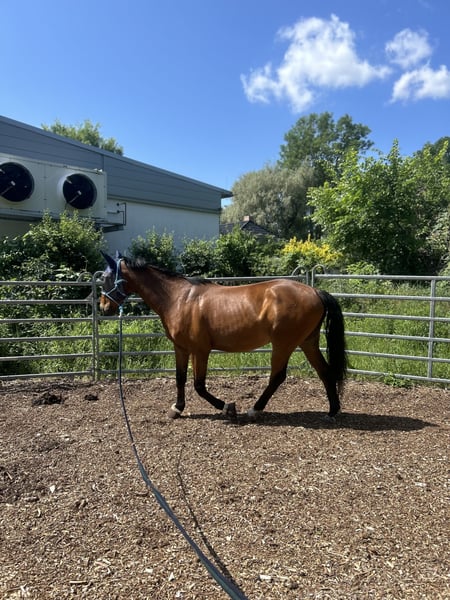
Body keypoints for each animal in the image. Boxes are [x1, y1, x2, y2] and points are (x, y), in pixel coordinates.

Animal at [99, 252, 347, 421]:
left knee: (277, 377)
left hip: (283, 344)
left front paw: (227, 407)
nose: (103, 307)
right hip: (307, 342)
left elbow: (199, 385)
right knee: (325, 372)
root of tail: (315, 292)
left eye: (106, 279)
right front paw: (177, 408)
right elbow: (180, 378)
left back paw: (254, 409)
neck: (178, 298)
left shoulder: (200, 350)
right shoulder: (181, 348)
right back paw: (332, 411)